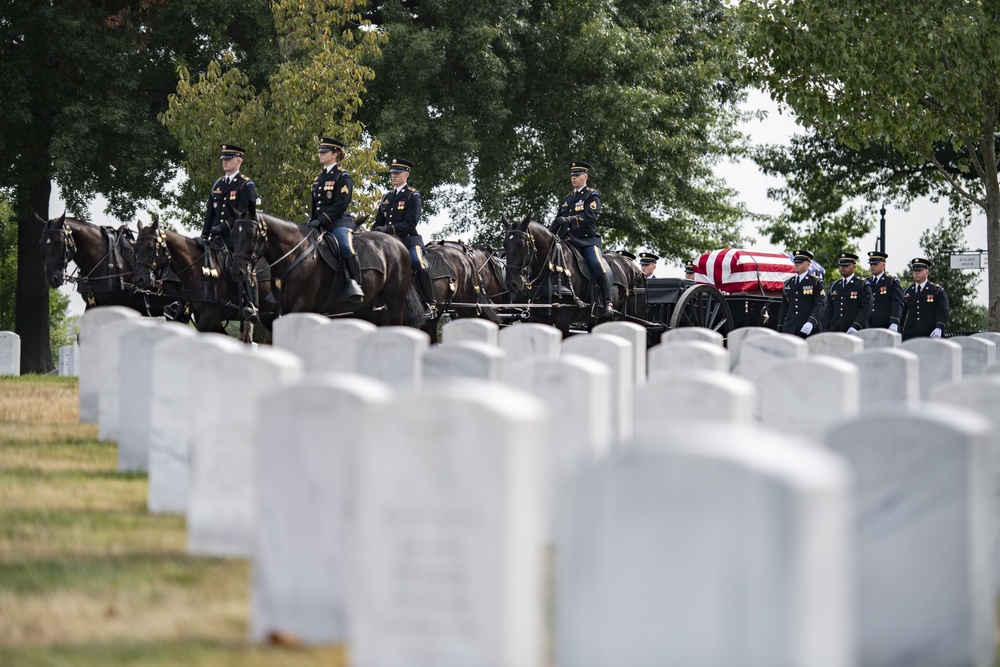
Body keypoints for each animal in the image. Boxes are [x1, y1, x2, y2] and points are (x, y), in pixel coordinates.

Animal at [231, 213, 426, 328]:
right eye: (234, 232)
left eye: (251, 233)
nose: (237, 271)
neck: (294, 254)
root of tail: (397, 242)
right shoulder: (284, 308)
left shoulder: (301, 306)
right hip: (366, 308)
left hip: (394, 301)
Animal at [500, 217, 648, 336]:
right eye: (504, 244)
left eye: (521, 244)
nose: (511, 283)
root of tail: (635, 269)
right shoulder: (538, 319)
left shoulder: (563, 320)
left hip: (634, 318)